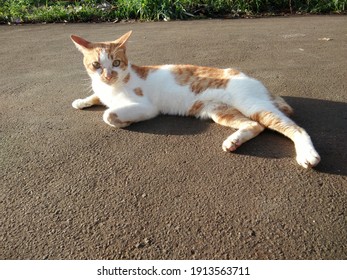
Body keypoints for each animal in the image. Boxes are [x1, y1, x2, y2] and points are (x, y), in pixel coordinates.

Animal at [70, 30, 320, 168]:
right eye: (96, 65)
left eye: (116, 63)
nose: (108, 75)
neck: (115, 84)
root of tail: (253, 79)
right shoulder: (101, 90)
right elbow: (96, 96)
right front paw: (81, 101)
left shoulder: (146, 107)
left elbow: (109, 114)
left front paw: (124, 121)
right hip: (219, 111)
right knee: (254, 125)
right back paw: (234, 141)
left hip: (253, 105)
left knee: (295, 128)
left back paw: (307, 154)